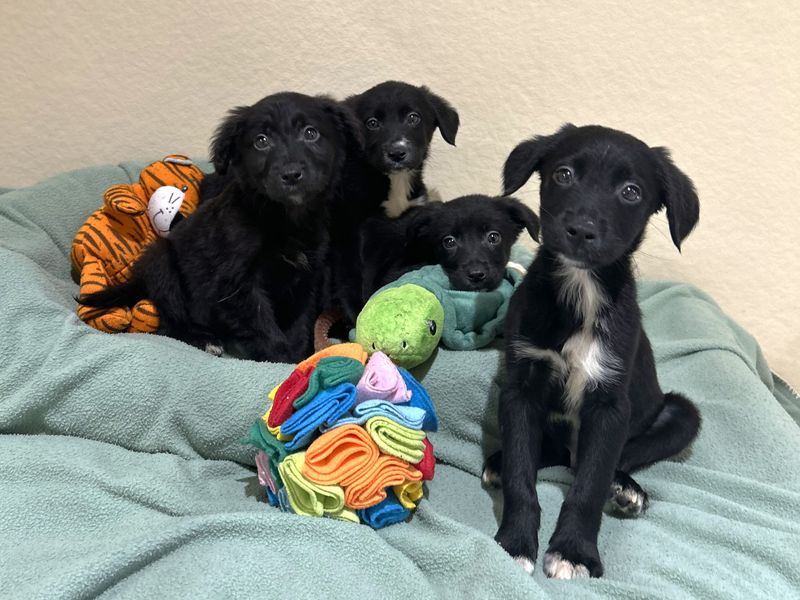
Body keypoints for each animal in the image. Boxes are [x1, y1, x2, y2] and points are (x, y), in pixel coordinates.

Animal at [78, 90, 360, 360]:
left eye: (311, 133)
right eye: (261, 141)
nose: (291, 175)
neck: (284, 218)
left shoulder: (306, 279)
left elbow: (301, 324)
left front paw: (301, 354)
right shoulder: (236, 285)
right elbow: (263, 328)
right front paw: (283, 359)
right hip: (163, 263)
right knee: (168, 326)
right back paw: (204, 339)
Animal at [328, 81, 460, 324]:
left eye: (413, 118)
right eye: (372, 123)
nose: (397, 152)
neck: (394, 182)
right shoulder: (351, 235)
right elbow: (354, 281)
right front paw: (358, 314)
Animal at [482, 124, 700, 580]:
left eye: (631, 192)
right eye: (563, 174)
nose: (581, 229)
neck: (581, 290)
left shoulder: (609, 405)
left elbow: (590, 482)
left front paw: (574, 551)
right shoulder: (522, 388)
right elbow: (521, 474)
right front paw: (515, 543)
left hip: (681, 414)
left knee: (604, 459)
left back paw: (626, 488)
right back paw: (499, 461)